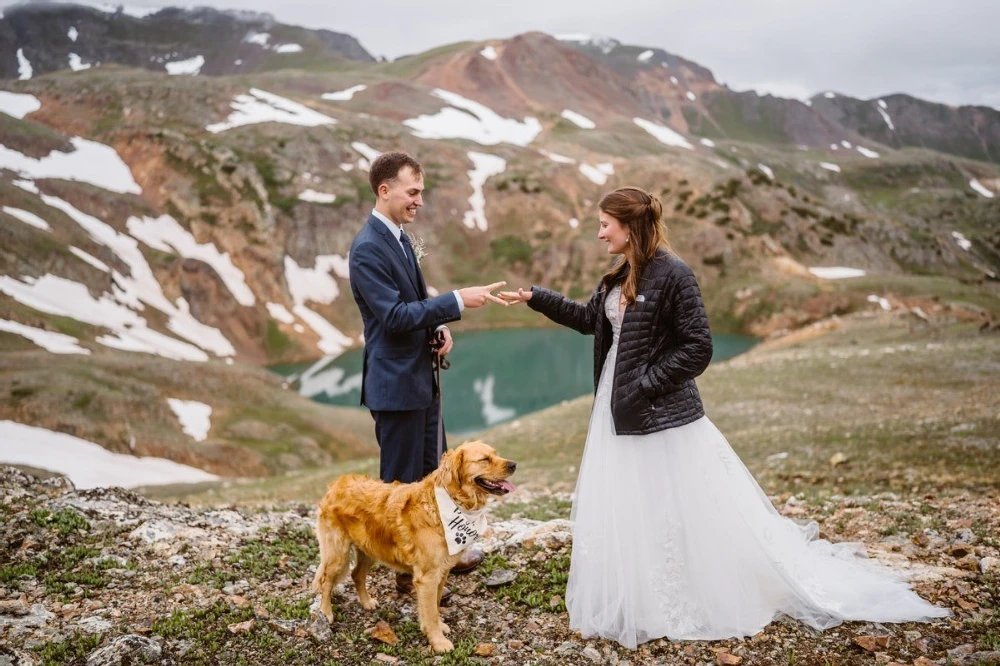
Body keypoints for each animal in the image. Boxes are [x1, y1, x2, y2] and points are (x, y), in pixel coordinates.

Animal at [310, 438, 516, 652]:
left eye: (496, 454)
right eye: (484, 459)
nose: (513, 465)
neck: (446, 503)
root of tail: (336, 484)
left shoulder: (441, 572)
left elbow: (435, 605)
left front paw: (437, 627)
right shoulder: (427, 577)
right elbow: (431, 612)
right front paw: (438, 641)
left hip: (370, 549)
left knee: (356, 574)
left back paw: (366, 602)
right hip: (337, 553)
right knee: (326, 581)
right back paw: (325, 612)